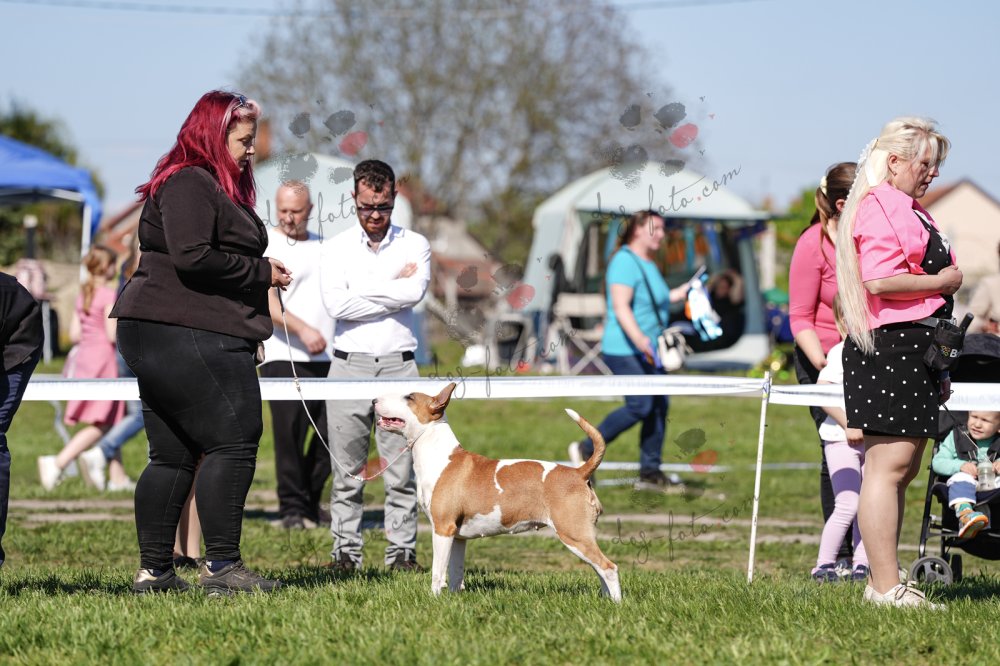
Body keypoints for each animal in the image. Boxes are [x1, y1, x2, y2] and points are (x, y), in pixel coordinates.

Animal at [373, 382, 621, 602]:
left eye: (409, 397)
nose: (374, 400)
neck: (439, 454)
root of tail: (579, 472)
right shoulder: (457, 536)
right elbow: (455, 573)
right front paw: (452, 600)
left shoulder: (443, 529)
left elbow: (437, 572)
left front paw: (434, 600)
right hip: (581, 536)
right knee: (599, 569)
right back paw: (605, 600)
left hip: (573, 533)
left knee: (609, 567)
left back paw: (616, 604)